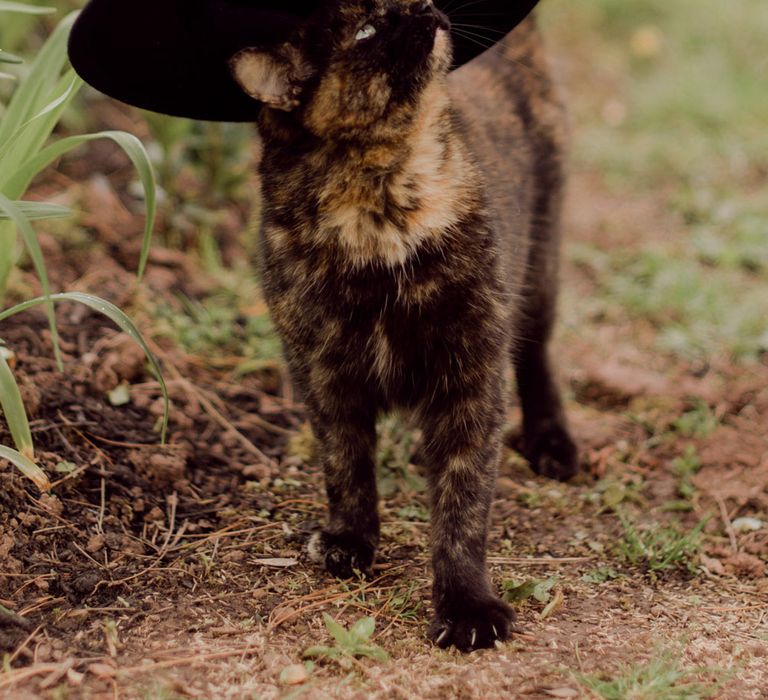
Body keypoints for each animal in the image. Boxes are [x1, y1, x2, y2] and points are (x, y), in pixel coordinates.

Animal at [231, 0, 580, 652]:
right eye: (366, 30)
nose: (424, 8)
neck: (380, 211)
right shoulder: (320, 373)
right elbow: (344, 465)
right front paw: (349, 541)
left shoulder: (471, 375)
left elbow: (463, 505)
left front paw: (467, 608)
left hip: (541, 257)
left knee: (537, 355)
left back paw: (553, 444)